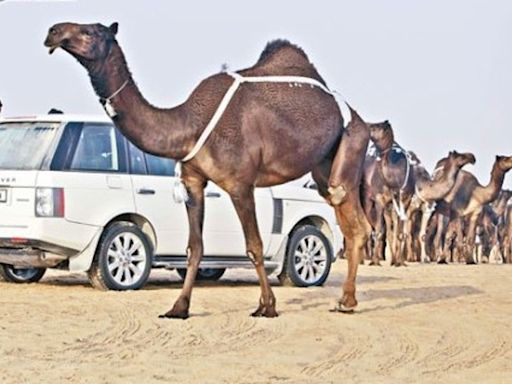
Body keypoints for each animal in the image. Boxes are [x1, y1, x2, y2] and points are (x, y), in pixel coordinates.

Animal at [45, 22, 372, 320]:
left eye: (90, 32)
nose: (53, 32)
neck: (189, 124)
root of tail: (358, 117)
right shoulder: (192, 181)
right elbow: (194, 248)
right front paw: (179, 308)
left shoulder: (241, 184)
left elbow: (254, 246)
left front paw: (267, 306)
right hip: (323, 166)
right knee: (349, 218)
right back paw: (346, 300)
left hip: (352, 140)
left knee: (349, 212)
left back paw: (347, 301)